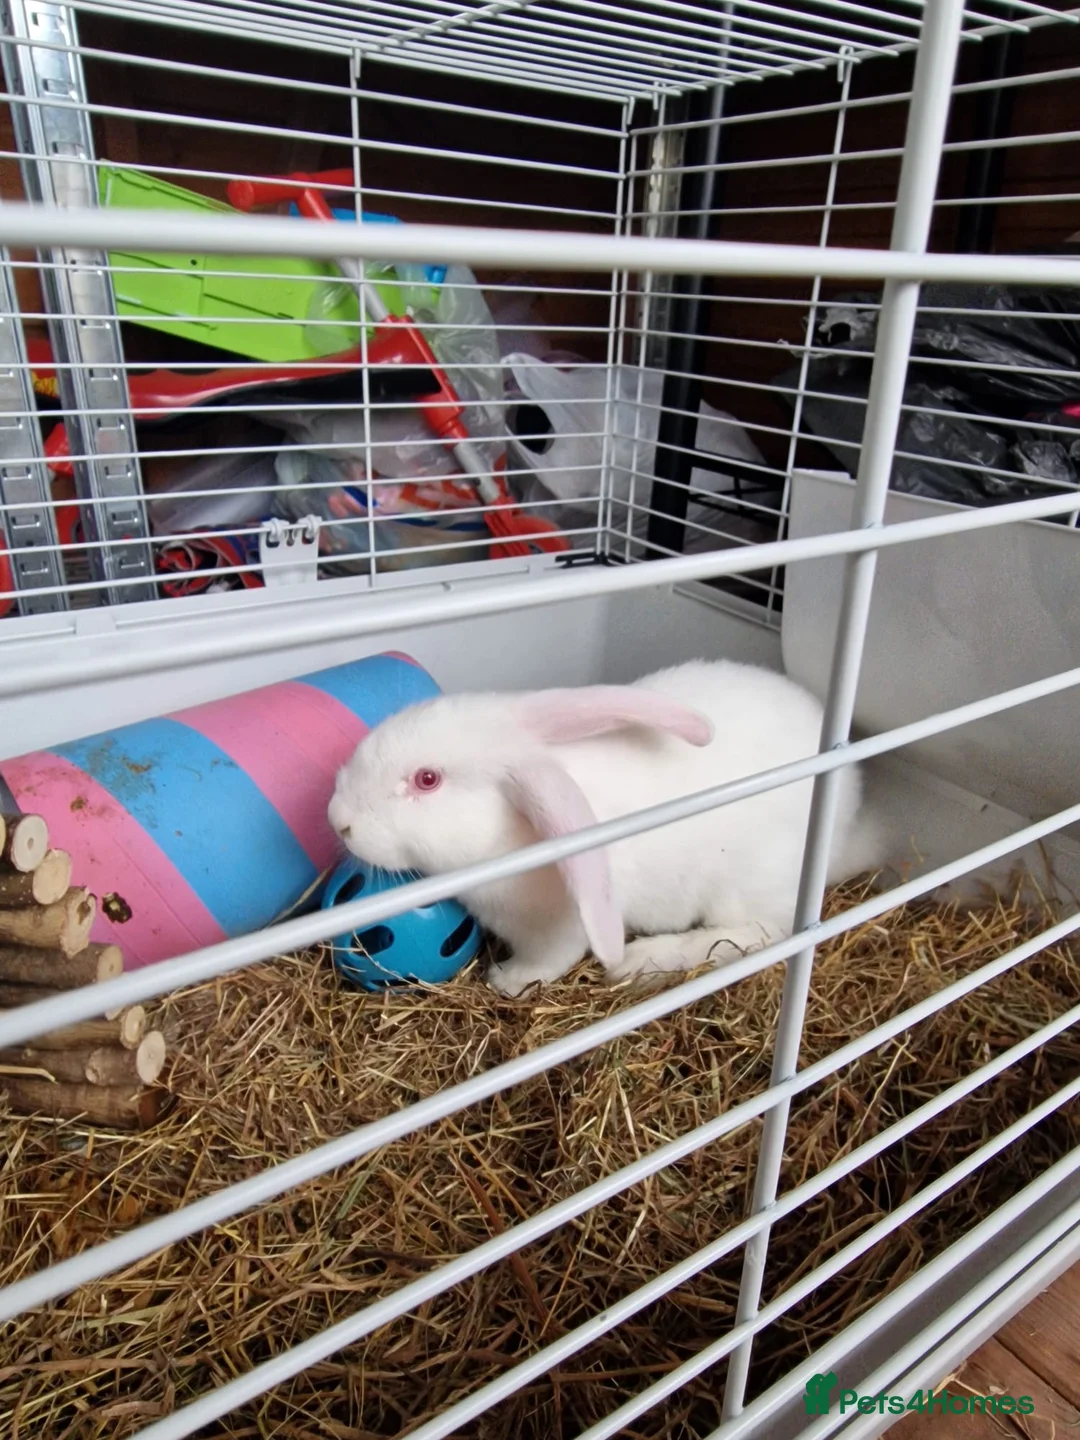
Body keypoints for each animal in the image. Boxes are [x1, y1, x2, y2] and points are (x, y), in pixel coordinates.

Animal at [327, 658, 882, 996]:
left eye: (427, 780)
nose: (337, 820)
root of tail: (851, 808)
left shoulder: (563, 927)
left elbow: (548, 961)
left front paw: (506, 981)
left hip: (748, 885)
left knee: (758, 934)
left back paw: (640, 961)